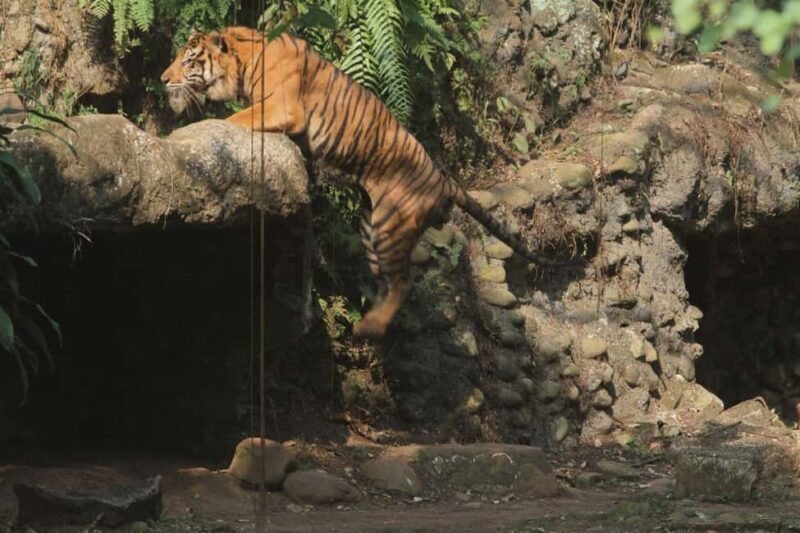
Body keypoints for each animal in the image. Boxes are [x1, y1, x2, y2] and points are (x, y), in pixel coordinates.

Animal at [160, 26, 574, 339]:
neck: (247, 61)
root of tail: (443, 180)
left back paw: (369, 328)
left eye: (188, 59)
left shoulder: (281, 109)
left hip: (391, 227)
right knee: (387, 282)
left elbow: (233, 120)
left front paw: (180, 134)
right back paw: (368, 321)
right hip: (371, 230)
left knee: (404, 281)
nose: (163, 80)